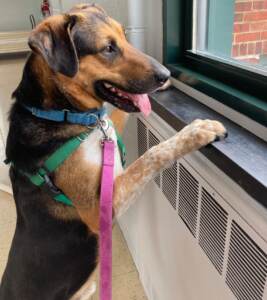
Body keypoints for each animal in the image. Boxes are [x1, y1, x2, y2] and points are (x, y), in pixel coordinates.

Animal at [0, 2, 228, 300]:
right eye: (108, 48)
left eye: (125, 36)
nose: (166, 75)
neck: (60, 112)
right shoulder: (102, 207)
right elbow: (151, 155)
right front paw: (197, 131)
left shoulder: (108, 123)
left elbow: (118, 115)